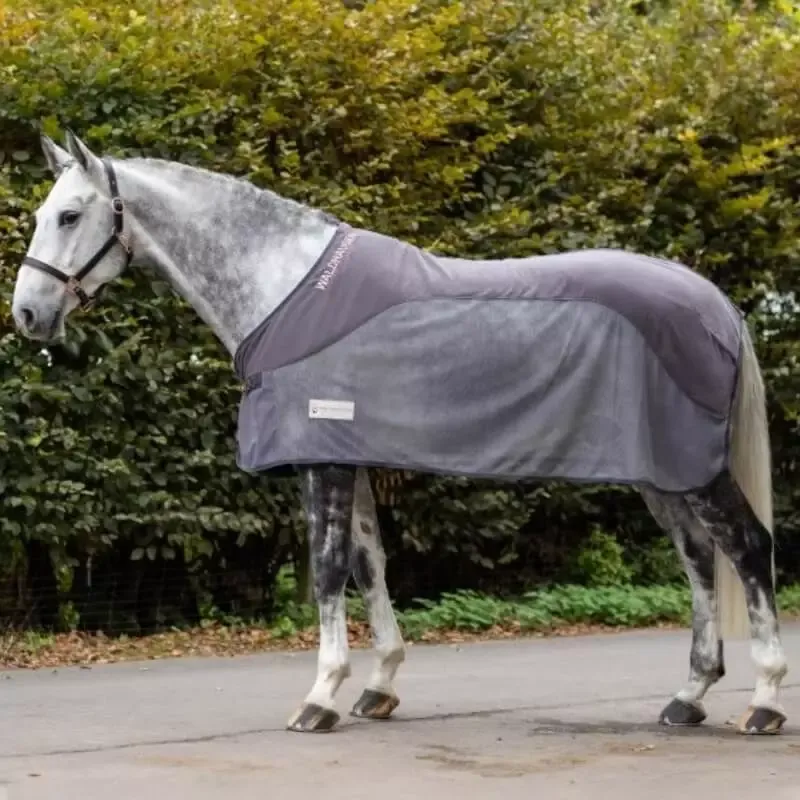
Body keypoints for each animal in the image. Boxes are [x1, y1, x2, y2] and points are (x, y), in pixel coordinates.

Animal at [10, 132, 788, 735]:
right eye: (44, 213)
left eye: (70, 214)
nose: (26, 314)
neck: (283, 290)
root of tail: (716, 303)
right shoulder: (349, 455)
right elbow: (369, 564)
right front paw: (378, 687)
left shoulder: (320, 459)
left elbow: (328, 570)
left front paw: (319, 697)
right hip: (664, 472)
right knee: (698, 557)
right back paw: (688, 697)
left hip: (694, 467)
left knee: (748, 548)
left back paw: (765, 701)